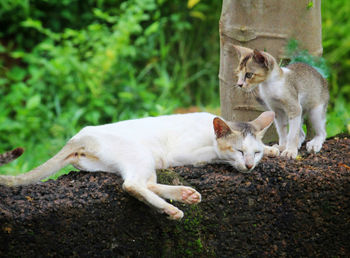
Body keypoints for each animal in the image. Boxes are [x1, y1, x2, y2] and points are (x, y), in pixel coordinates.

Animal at [0, 111, 278, 220]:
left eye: (255, 153)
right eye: (239, 151)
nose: (250, 166)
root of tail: (80, 135)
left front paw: (274, 150)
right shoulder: (187, 153)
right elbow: (216, 155)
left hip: (142, 161)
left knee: (146, 184)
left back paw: (185, 195)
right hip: (142, 154)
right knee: (132, 185)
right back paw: (172, 208)